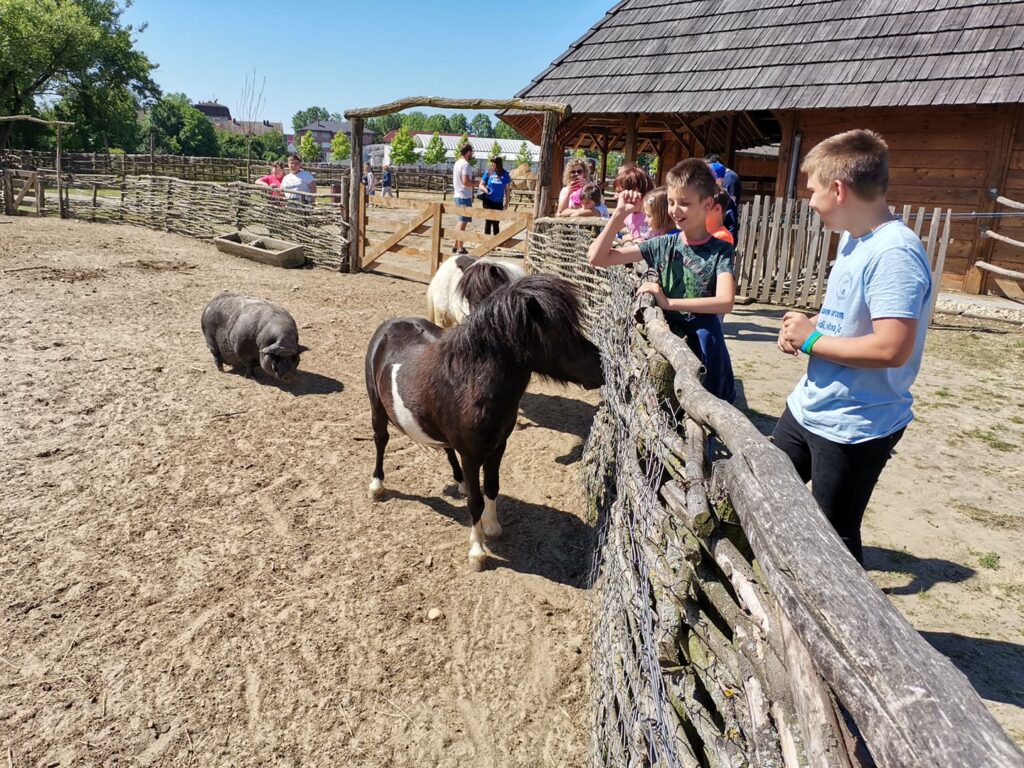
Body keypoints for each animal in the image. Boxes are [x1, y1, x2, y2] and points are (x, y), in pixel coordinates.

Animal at [364, 274, 604, 571]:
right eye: (559, 333)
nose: (602, 367)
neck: (471, 383)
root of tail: (389, 326)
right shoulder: (471, 455)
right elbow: (475, 502)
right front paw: (477, 552)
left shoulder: (497, 448)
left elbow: (491, 487)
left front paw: (492, 527)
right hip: (377, 408)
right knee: (381, 440)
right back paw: (377, 486)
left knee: (446, 449)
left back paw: (459, 483)